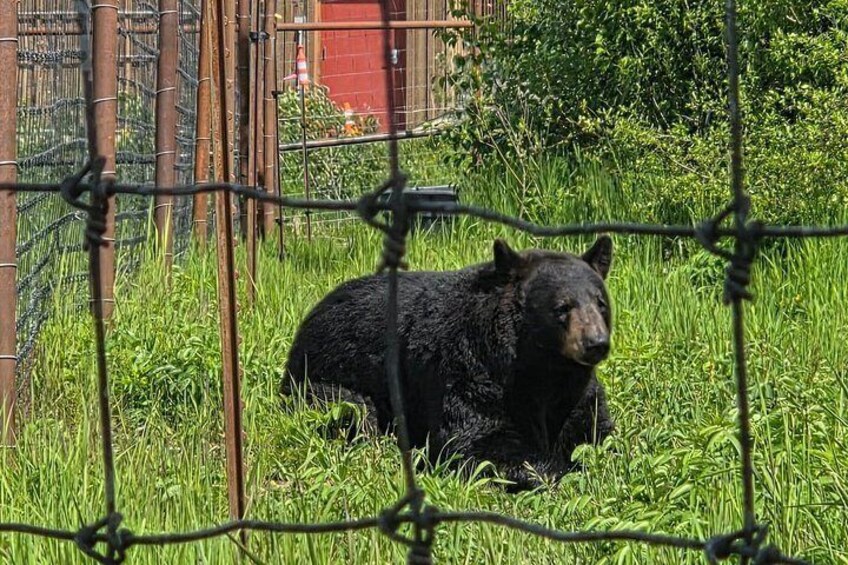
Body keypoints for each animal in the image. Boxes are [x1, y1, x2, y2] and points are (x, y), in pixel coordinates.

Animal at [283, 236, 616, 491]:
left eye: (600, 302)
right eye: (562, 307)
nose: (596, 343)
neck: (539, 367)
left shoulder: (575, 390)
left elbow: (594, 431)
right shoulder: (470, 369)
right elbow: (476, 440)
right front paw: (555, 472)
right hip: (322, 378)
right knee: (354, 412)